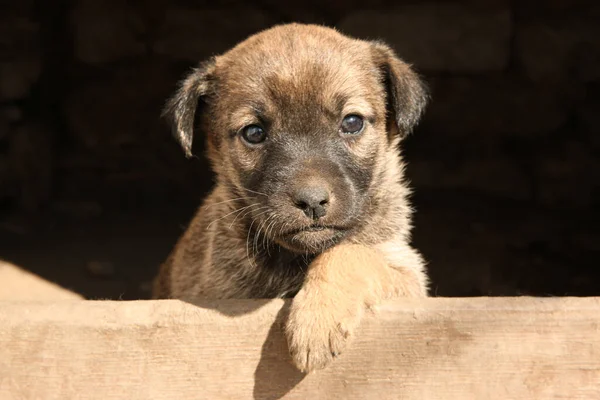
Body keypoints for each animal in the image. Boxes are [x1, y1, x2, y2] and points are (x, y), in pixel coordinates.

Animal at [152, 23, 428, 374]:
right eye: (253, 133)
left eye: (352, 123)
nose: (312, 201)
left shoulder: (407, 274)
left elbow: (350, 254)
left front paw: (316, 322)